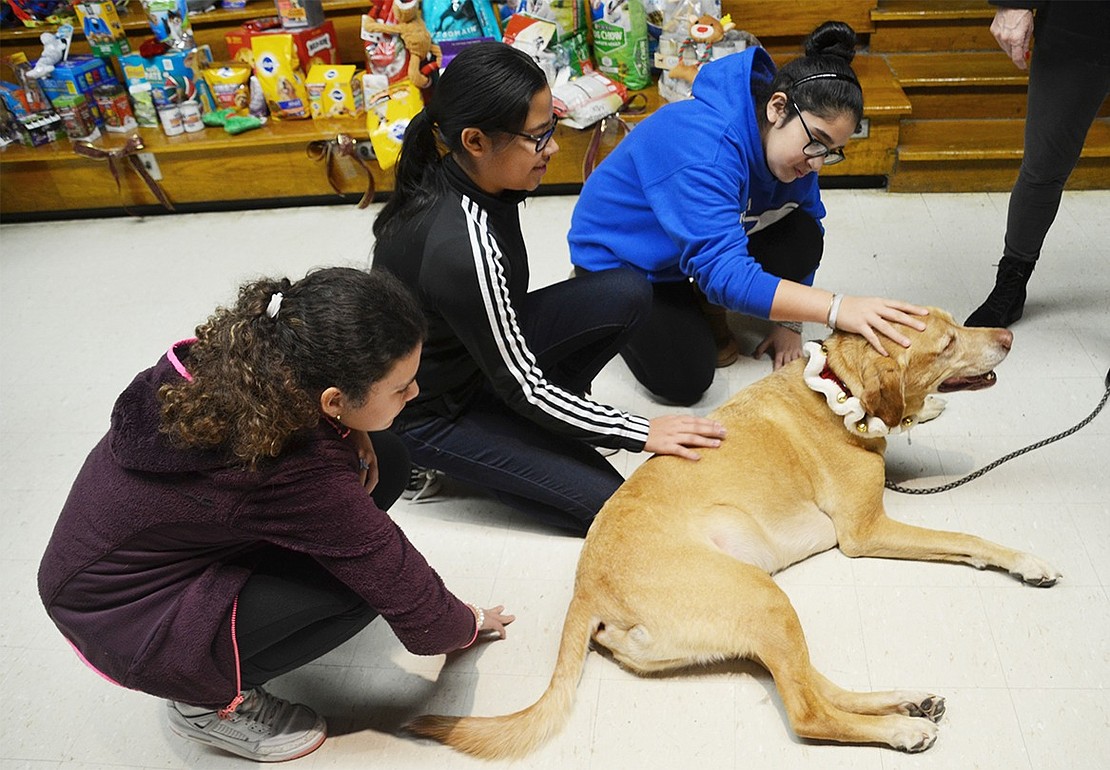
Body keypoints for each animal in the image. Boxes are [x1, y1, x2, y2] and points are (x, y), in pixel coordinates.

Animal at [408, 308, 1056, 758]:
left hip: (765, 612)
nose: (1008, 337)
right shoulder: (866, 532)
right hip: (764, 598)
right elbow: (970, 540)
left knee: (813, 683)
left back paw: (905, 702)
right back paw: (900, 729)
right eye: (946, 344)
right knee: (806, 710)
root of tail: (587, 588)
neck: (839, 386)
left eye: (955, 321)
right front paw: (1028, 561)